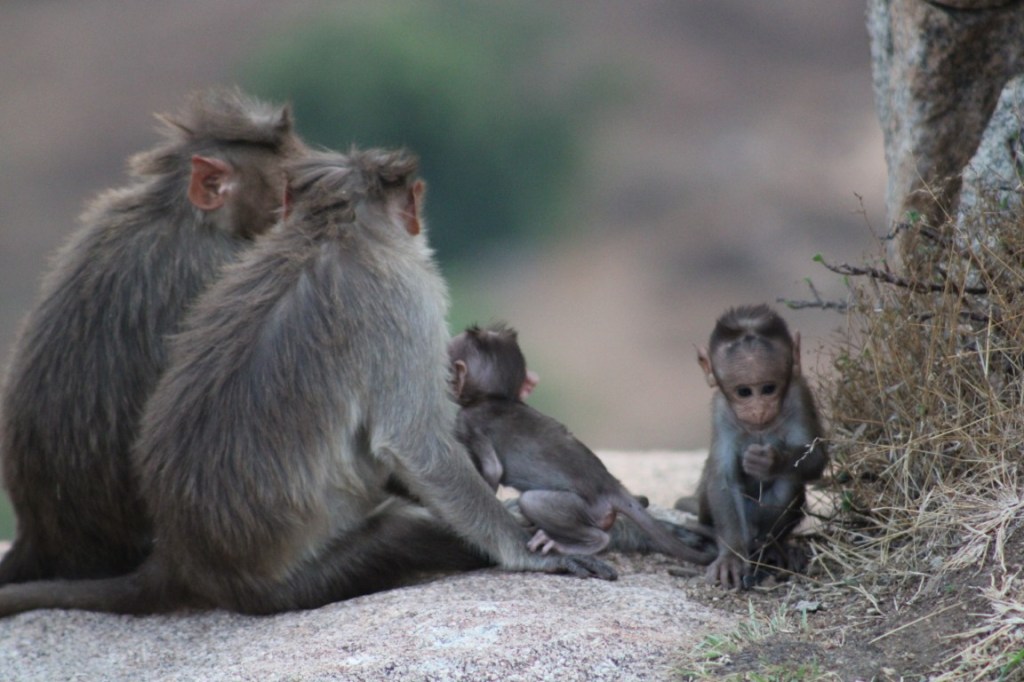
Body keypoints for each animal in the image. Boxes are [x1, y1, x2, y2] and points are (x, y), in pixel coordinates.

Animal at [0, 149, 615, 618]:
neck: (330, 233)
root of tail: (185, 558)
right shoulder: (407, 298)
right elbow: (415, 446)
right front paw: (529, 549)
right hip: (314, 577)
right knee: (400, 527)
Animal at [448, 324, 716, 566]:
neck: (495, 398)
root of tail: (611, 486)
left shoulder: (469, 421)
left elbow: (493, 471)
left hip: (581, 508)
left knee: (535, 503)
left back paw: (572, 542)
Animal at [674, 304, 827, 590]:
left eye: (768, 388)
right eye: (744, 392)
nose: (758, 410)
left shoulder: (799, 394)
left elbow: (815, 458)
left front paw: (769, 461)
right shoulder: (722, 411)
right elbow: (723, 477)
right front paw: (731, 558)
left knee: (788, 481)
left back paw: (771, 548)